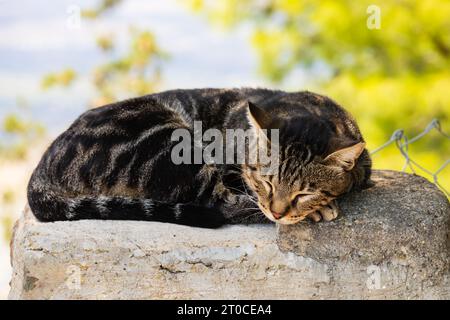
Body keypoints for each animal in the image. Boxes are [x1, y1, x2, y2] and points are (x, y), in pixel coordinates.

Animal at [29, 87, 372, 228]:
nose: (278, 212)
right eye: (266, 183)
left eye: (304, 192)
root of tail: (42, 168)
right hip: (169, 144)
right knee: (220, 205)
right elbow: (246, 198)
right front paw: (318, 209)